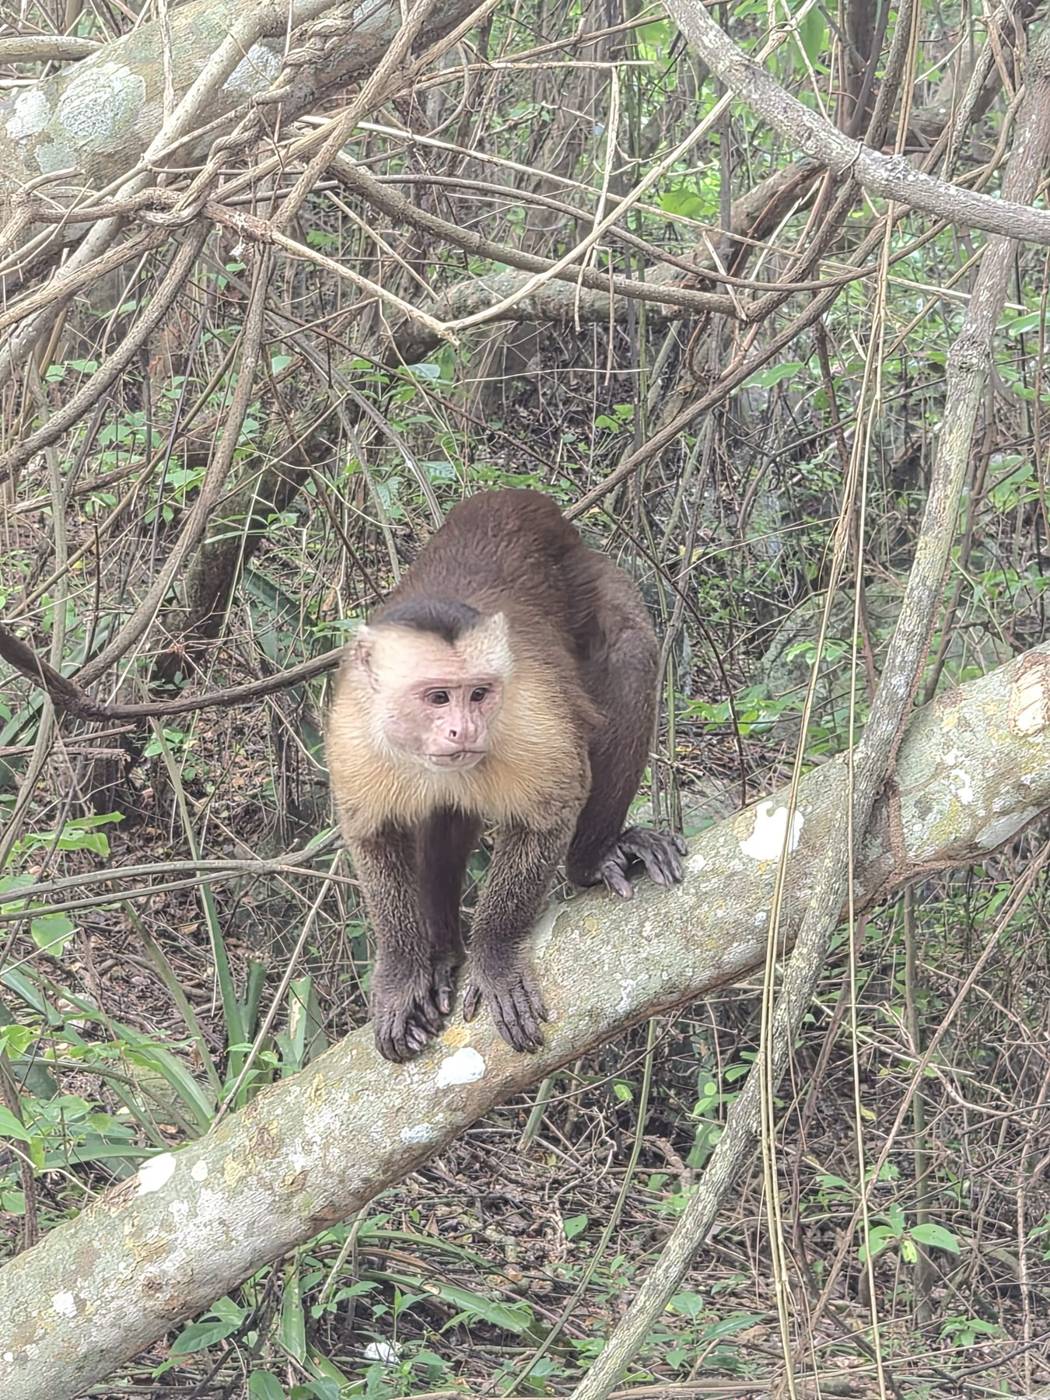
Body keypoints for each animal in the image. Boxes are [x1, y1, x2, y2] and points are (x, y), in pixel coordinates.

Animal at [326, 488, 687, 1063]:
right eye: (437, 697)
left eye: (479, 694)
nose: (464, 729)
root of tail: (516, 498)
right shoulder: (353, 732)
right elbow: (374, 836)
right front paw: (403, 975)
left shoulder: (529, 713)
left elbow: (549, 812)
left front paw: (493, 954)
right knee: (443, 819)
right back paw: (443, 953)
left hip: (592, 572)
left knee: (631, 649)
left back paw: (595, 856)